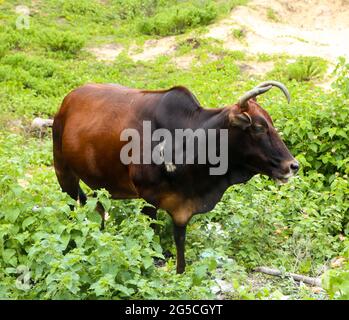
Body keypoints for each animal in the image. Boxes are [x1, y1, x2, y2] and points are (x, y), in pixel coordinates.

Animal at [53, 81, 298, 274]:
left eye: (271, 122)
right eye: (258, 127)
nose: (292, 166)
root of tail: (67, 100)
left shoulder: (183, 207)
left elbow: (180, 241)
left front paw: (179, 272)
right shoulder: (149, 199)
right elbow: (151, 234)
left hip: (98, 184)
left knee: (98, 207)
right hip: (63, 173)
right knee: (71, 207)